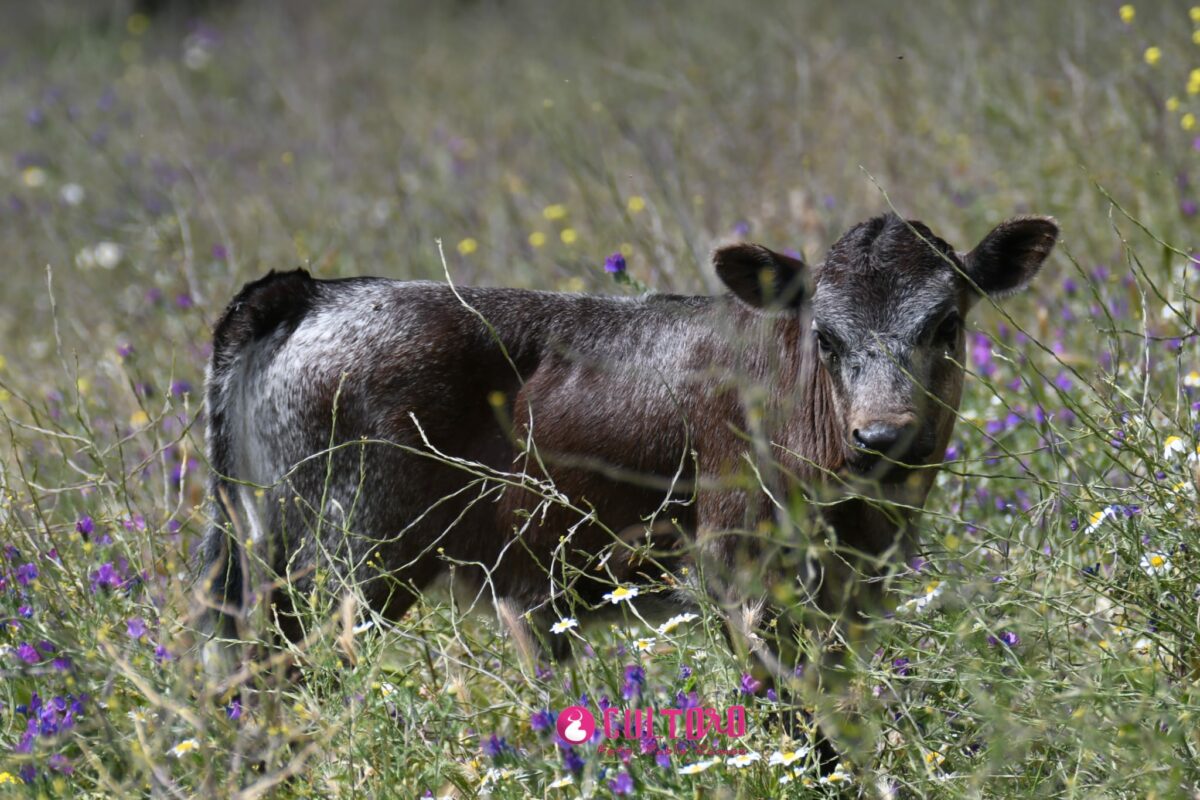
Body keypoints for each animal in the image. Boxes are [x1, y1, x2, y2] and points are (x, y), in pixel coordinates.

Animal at [199, 215, 1060, 767]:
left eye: (946, 325)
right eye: (825, 336)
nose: (882, 436)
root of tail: (314, 291)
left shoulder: (856, 591)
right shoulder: (739, 577)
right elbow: (792, 717)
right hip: (350, 560)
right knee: (296, 678)